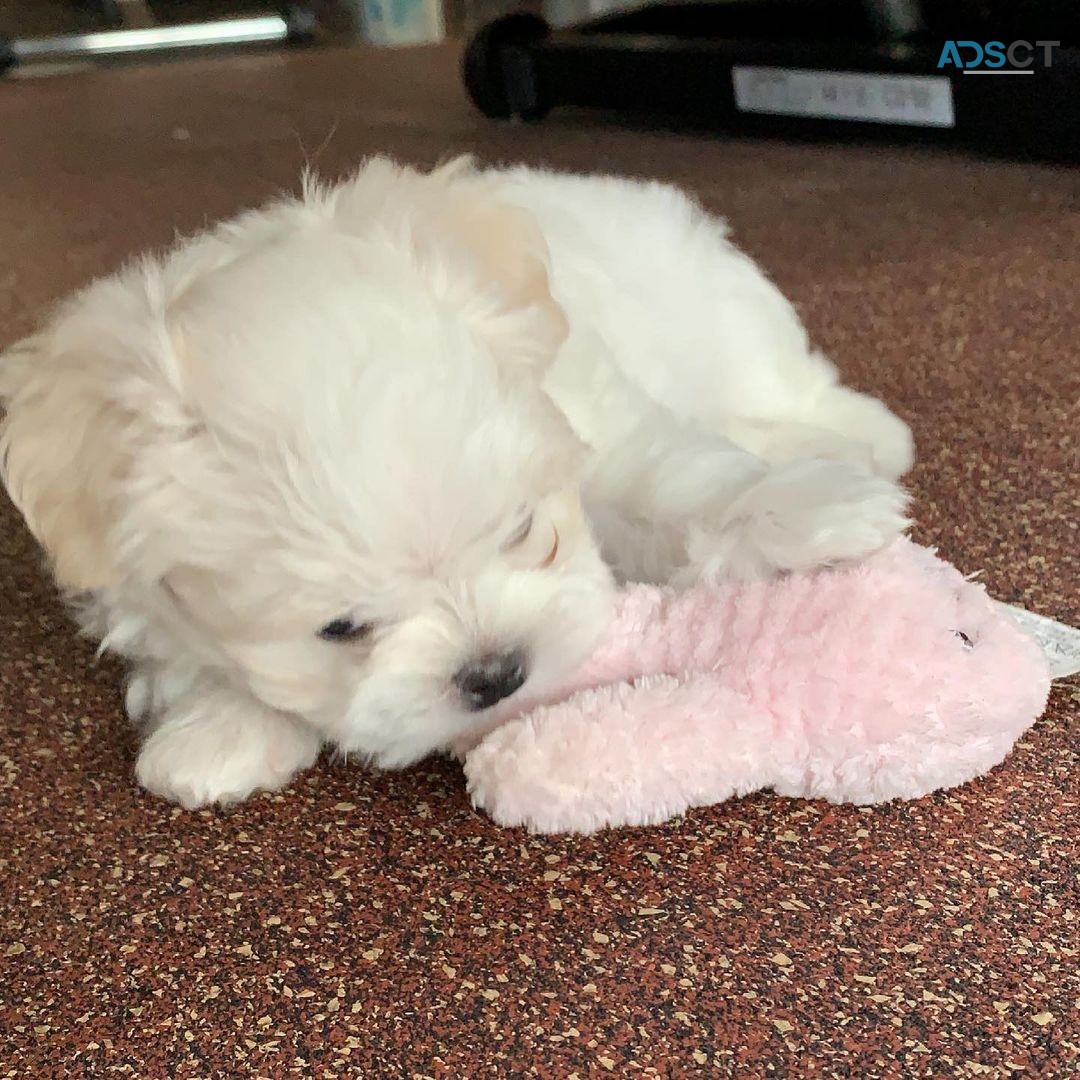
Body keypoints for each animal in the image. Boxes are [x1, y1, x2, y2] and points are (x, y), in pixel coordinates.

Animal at [0, 156, 911, 807]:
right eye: (339, 628)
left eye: (526, 531)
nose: (496, 672)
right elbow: (190, 649)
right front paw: (219, 729)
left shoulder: (602, 423)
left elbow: (674, 479)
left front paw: (803, 514)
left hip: (731, 323)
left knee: (790, 388)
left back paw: (862, 443)